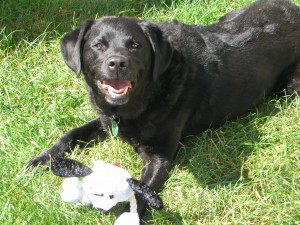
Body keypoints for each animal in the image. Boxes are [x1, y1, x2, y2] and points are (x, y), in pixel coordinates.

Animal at [28, 0, 300, 218]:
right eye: (98, 45)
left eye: (135, 45)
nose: (117, 63)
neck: (148, 95)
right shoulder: (108, 120)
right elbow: (71, 133)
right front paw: (41, 159)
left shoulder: (159, 157)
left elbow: (140, 190)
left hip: (291, 87)